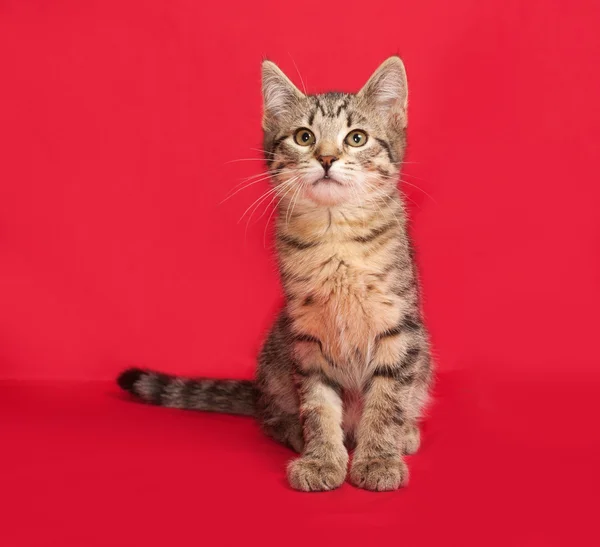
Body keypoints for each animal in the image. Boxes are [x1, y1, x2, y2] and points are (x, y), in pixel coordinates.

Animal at [117, 57, 434, 494]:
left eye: (356, 138)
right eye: (304, 137)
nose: (326, 158)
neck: (336, 237)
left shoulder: (399, 327)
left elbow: (387, 401)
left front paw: (378, 458)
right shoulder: (307, 336)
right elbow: (318, 406)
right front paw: (321, 459)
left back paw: (404, 434)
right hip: (276, 351)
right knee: (272, 416)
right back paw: (295, 431)